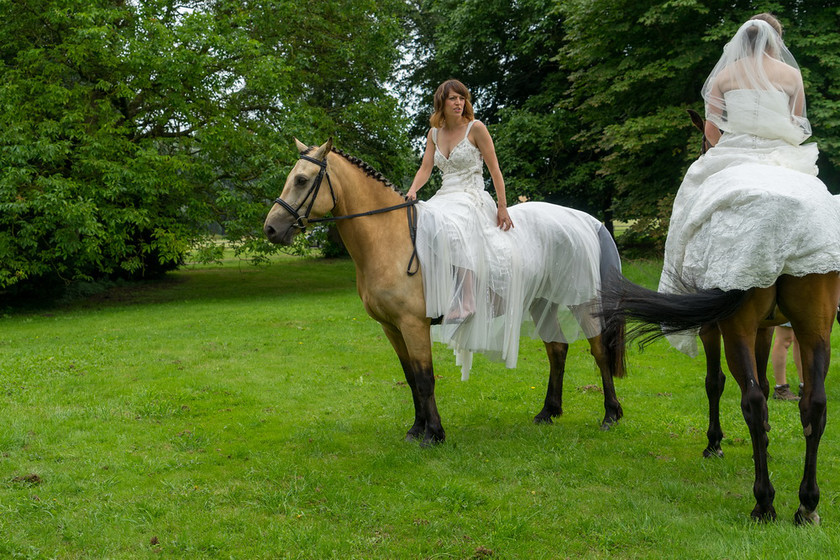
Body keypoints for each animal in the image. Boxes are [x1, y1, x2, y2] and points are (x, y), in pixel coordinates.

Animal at [266, 139, 628, 446]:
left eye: (302, 180)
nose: (271, 228)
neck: (391, 238)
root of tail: (583, 220)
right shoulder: (391, 327)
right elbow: (411, 377)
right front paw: (416, 429)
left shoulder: (413, 324)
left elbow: (425, 378)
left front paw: (434, 434)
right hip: (543, 301)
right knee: (557, 349)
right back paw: (548, 412)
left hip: (582, 302)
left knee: (598, 352)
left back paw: (611, 414)